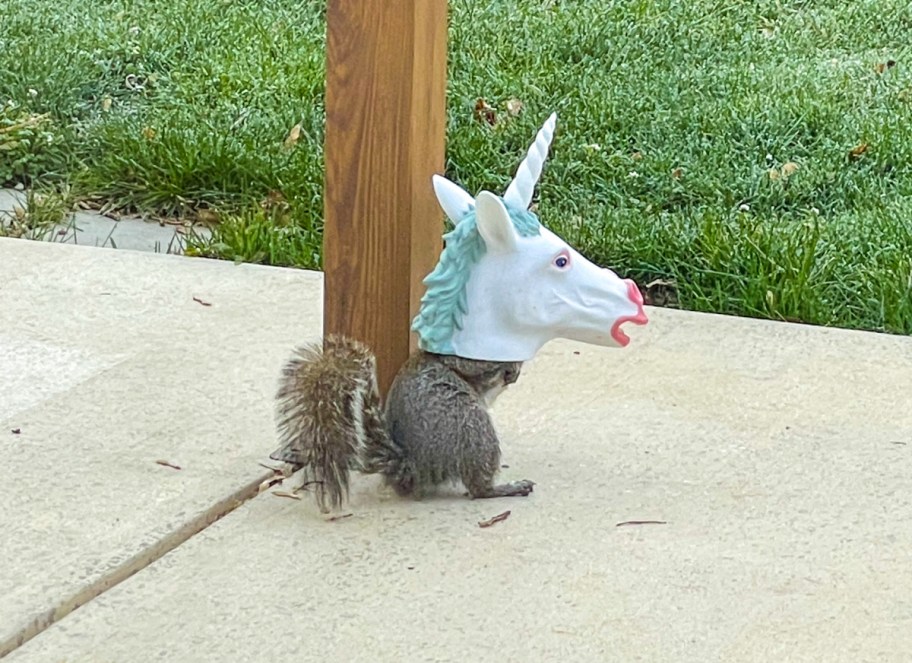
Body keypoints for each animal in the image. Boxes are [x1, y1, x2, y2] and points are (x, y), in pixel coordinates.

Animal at [268, 334, 536, 510]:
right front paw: (507, 366)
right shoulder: (461, 354)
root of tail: (414, 466)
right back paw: (507, 488)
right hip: (471, 426)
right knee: (478, 489)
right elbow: (474, 364)